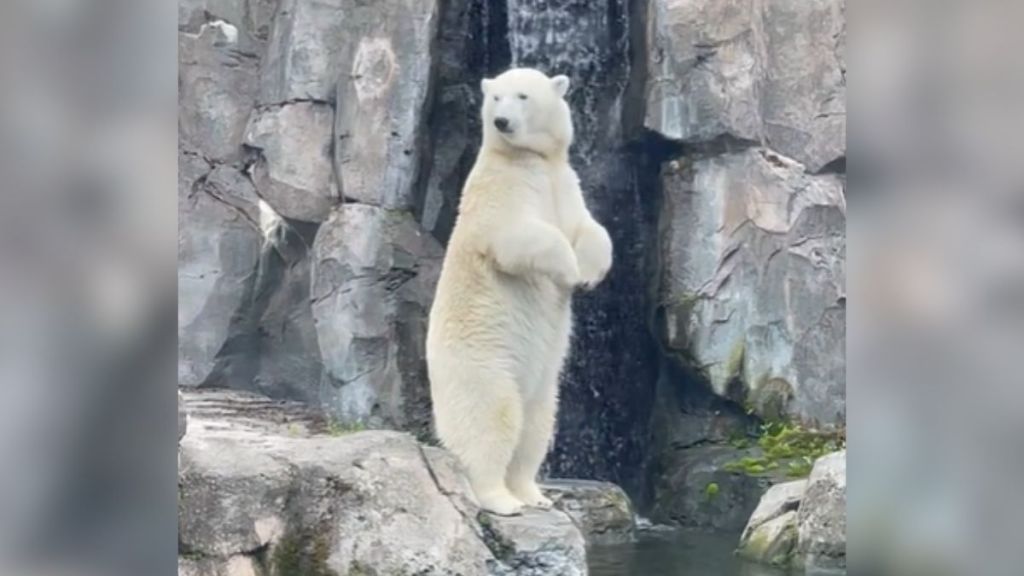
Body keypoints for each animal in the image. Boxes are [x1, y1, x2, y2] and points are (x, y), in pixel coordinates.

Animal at [421, 68, 606, 516]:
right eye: (495, 98)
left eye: (522, 96)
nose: (502, 121)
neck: (530, 159)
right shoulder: (502, 188)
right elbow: (518, 237)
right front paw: (569, 269)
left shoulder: (564, 183)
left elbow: (589, 227)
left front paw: (588, 274)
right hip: (481, 363)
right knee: (493, 420)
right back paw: (502, 500)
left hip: (542, 383)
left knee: (538, 423)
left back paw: (534, 494)